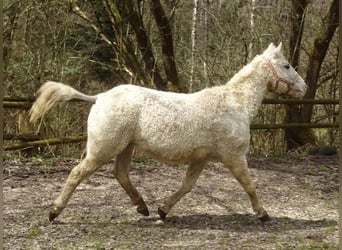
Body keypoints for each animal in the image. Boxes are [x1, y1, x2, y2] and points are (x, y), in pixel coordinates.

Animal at [29, 42, 308, 222]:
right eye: (287, 65)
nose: (304, 88)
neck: (234, 104)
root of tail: (99, 97)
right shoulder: (234, 157)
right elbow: (249, 185)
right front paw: (263, 214)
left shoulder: (201, 159)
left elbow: (187, 186)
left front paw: (163, 210)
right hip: (103, 150)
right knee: (77, 174)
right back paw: (54, 212)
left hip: (126, 148)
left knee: (121, 174)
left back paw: (143, 207)